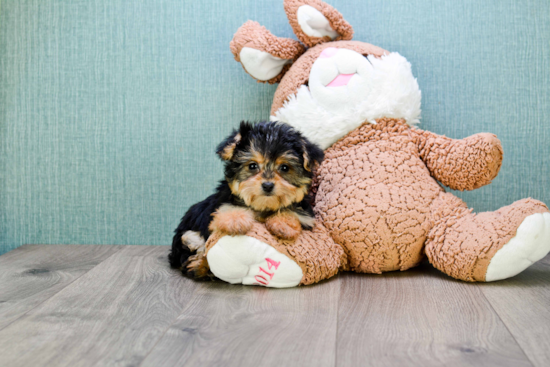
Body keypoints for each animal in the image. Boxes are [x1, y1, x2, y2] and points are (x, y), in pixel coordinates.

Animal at [168, 121, 324, 278]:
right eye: (252, 166)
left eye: (285, 168)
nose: (268, 185)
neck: (262, 206)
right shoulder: (220, 206)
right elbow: (228, 210)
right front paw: (235, 220)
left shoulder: (306, 217)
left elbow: (294, 211)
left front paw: (284, 224)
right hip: (187, 235)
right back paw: (200, 265)